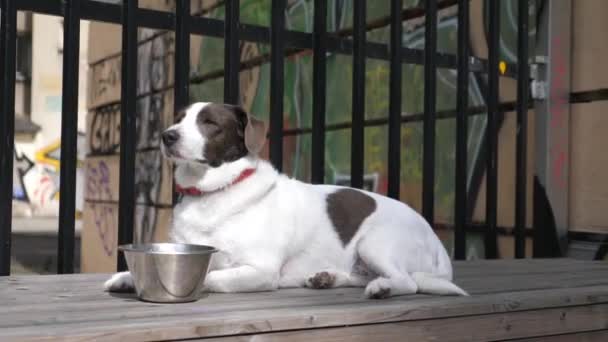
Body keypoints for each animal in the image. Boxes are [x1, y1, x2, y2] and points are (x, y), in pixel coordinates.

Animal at [103, 103, 466, 298]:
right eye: (179, 118)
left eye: (209, 123)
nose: (168, 135)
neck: (213, 192)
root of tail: (437, 245)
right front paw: (126, 278)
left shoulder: (260, 270)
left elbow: (210, 276)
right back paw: (327, 278)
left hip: (374, 243)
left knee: (408, 282)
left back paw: (382, 288)